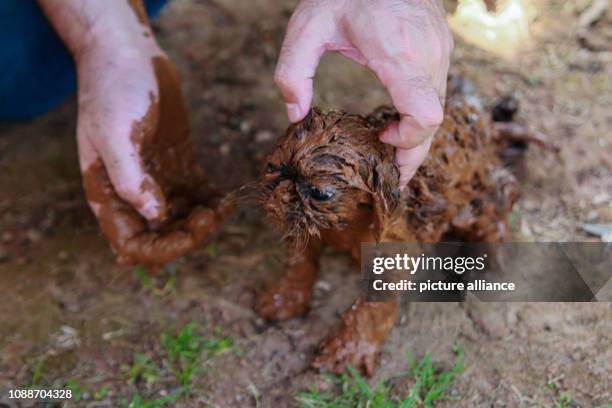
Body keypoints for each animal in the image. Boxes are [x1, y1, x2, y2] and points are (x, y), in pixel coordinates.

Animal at [256, 98, 520, 376]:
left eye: (320, 193)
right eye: (273, 167)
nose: (280, 195)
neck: (348, 227)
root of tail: (484, 124)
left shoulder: (393, 248)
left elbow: (372, 306)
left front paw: (347, 351)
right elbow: (299, 263)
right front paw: (282, 300)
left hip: (472, 204)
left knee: (497, 211)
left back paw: (495, 259)